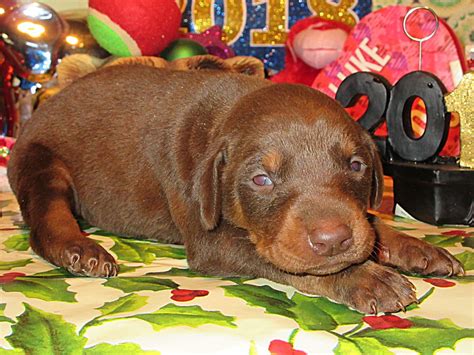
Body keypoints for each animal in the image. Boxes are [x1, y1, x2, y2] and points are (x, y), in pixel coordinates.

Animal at [8, 64, 462, 314]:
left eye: (356, 165)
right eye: (261, 180)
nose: (333, 240)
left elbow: (371, 222)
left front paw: (414, 247)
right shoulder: (213, 239)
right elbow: (284, 262)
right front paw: (365, 277)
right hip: (41, 162)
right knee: (45, 217)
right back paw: (79, 249)